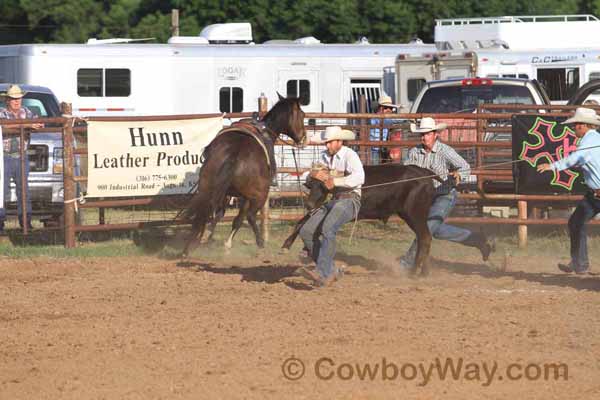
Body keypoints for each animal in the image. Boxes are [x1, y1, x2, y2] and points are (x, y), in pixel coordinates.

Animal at [182, 96, 304, 256]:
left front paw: (207, 236)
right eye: (302, 115)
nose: (304, 138)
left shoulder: (225, 193)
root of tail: (235, 152)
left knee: (202, 212)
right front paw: (226, 244)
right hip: (258, 194)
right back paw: (260, 243)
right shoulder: (245, 197)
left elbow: (219, 214)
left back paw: (188, 248)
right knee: (250, 216)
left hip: (206, 187)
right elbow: (238, 219)